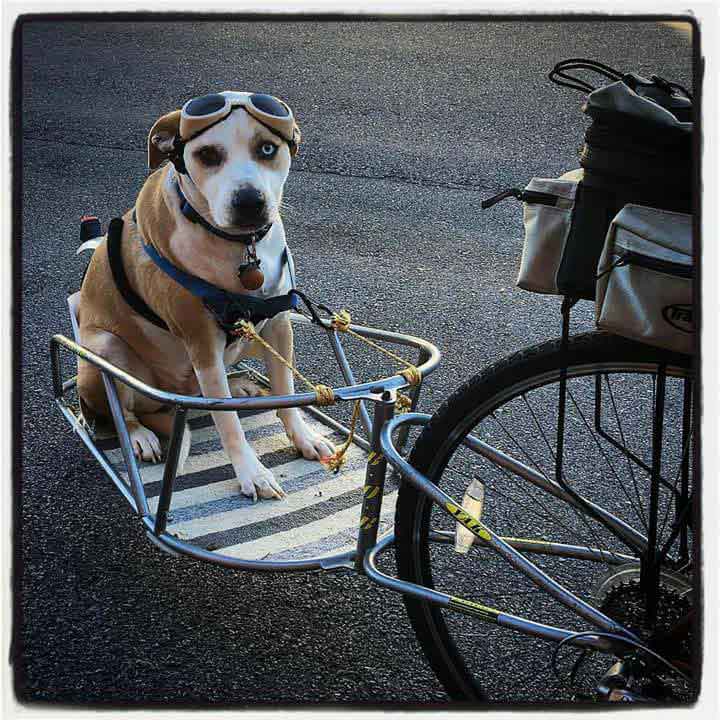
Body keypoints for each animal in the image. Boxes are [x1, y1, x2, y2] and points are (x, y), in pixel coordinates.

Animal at [77, 91, 336, 500]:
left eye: (267, 148)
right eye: (208, 155)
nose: (249, 202)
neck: (240, 247)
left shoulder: (278, 325)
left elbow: (286, 391)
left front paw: (303, 437)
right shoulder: (202, 341)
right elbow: (227, 421)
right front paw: (252, 473)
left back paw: (238, 384)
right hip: (105, 350)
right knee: (127, 411)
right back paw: (140, 435)